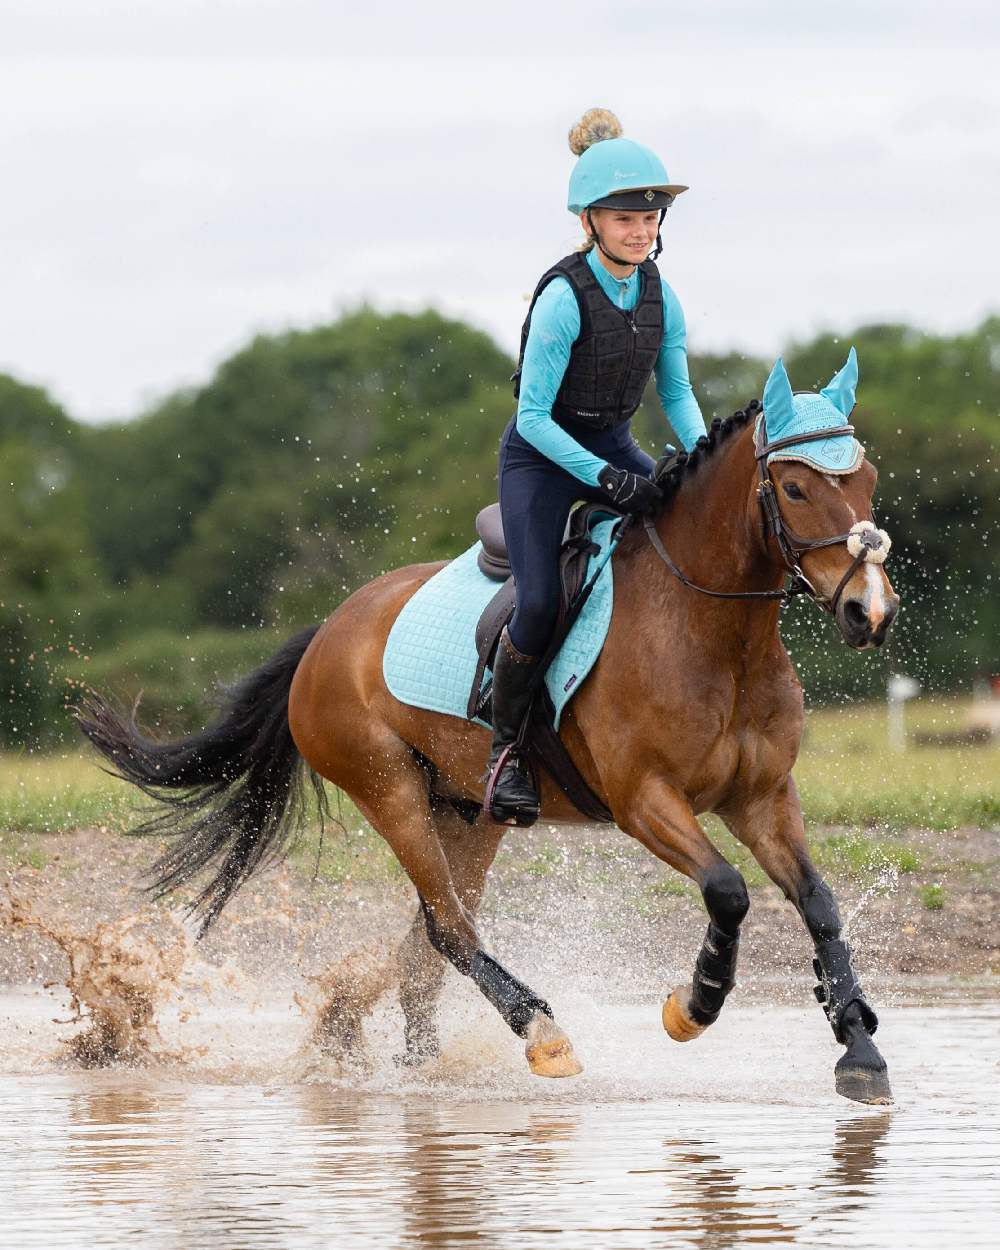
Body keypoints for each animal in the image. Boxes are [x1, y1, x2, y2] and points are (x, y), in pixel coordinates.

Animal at [80, 367, 900, 1105]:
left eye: (866, 479)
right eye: (795, 489)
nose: (870, 611)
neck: (713, 635)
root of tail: (329, 631)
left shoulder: (761, 797)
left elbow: (818, 902)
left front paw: (859, 1051)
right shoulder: (644, 800)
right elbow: (728, 892)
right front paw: (693, 1006)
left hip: (468, 814)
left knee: (426, 942)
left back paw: (402, 1056)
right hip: (390, 791)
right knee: (447, 929)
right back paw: (541, 1034)